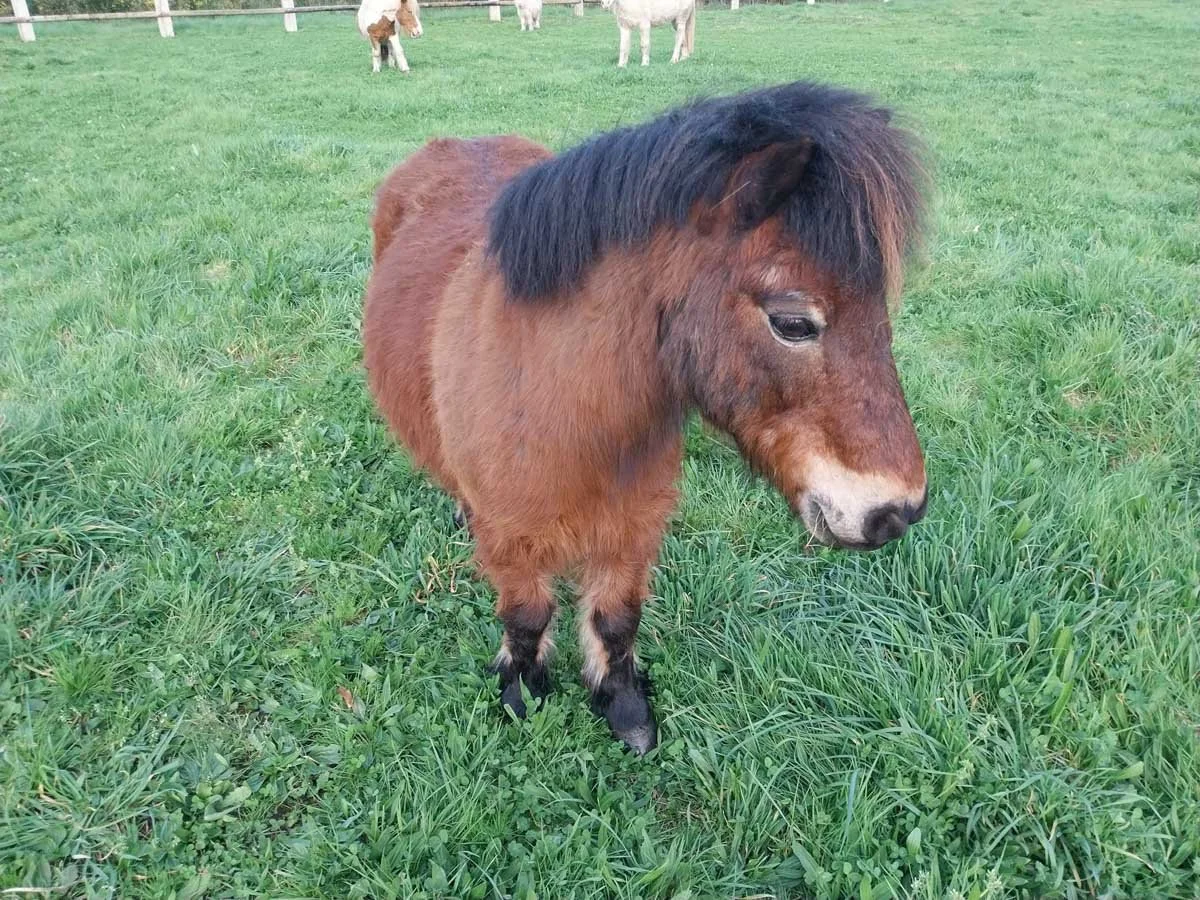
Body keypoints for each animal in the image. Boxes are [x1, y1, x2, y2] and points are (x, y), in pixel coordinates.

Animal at [362, 82, 930, 754]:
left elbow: (616, 620)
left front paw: (624, 707)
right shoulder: (513, 542)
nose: (899, 510)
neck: (569, 409)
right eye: (793, 323)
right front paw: (522, 692)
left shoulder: (633, 531)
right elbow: (526, 618)